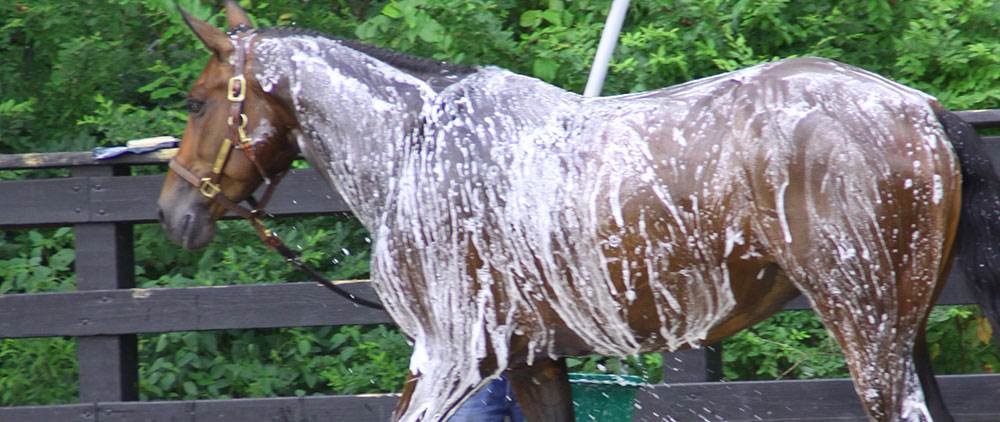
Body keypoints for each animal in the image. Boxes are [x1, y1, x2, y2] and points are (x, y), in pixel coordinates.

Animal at [156, 2, 1000, 421]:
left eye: (198, 102)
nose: (173, 213)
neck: (421, 146)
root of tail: (921, 109)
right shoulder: (531, 361)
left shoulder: (450, 359)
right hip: (905, 331)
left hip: (869, 329)